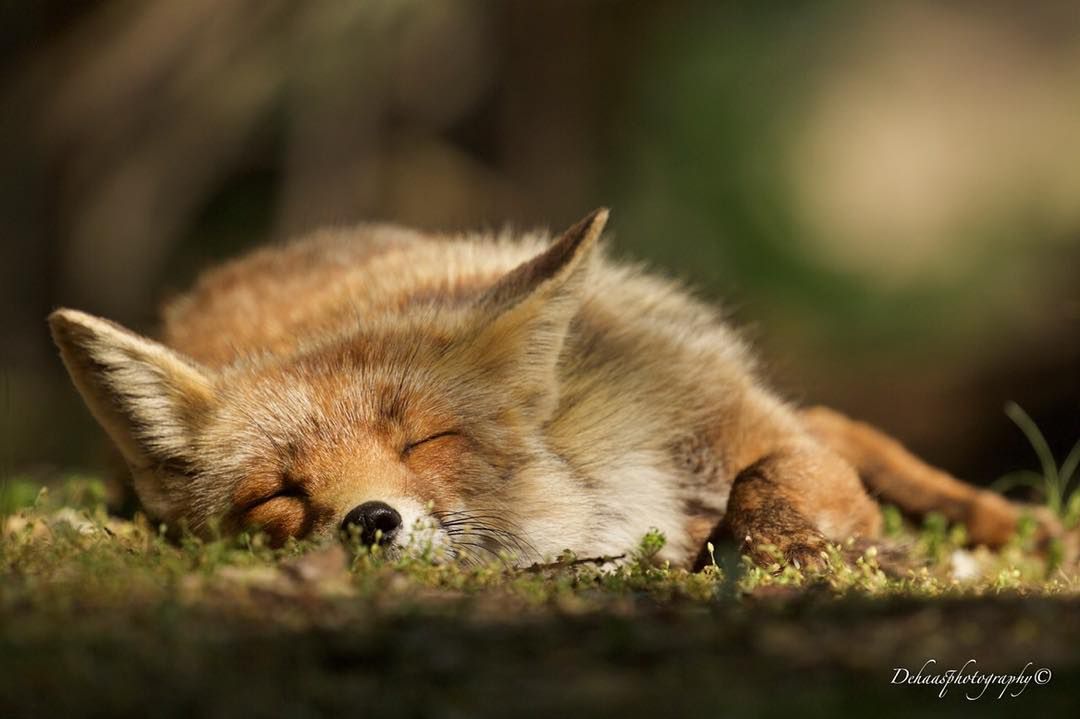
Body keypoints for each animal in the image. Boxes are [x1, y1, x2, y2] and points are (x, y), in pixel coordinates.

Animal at [48, 207, 1036, 565]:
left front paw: (793, 553)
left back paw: (1010, 521)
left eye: (423, 440)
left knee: (841, 426)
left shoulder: (729, 426)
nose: (370, 522)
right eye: (276, 494)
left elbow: (770, 488)